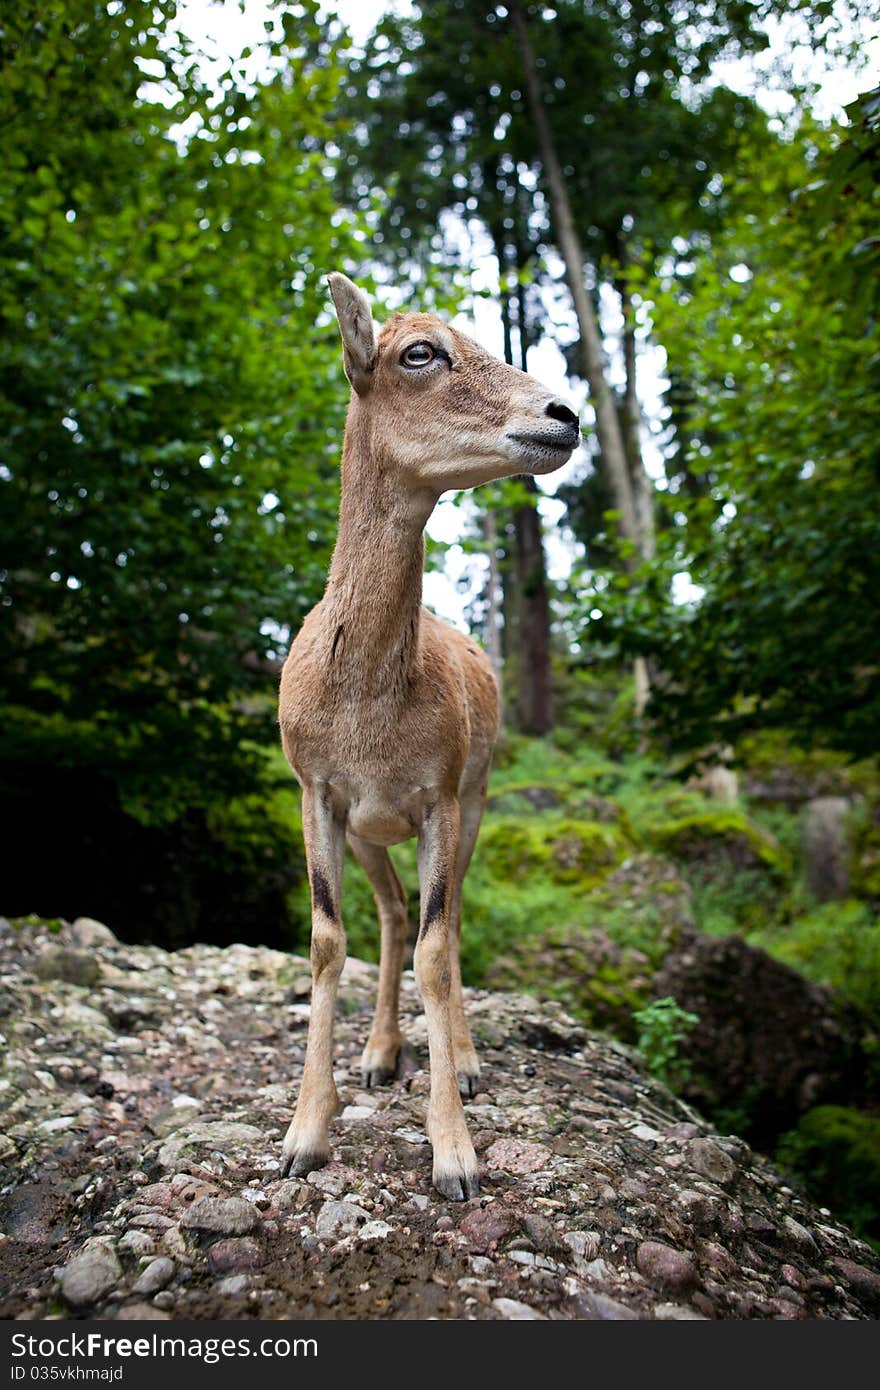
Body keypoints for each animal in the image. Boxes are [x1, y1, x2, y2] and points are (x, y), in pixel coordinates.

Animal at [279, 276, 575, 1200]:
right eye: (419, 352)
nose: (563, 414)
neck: (369, 713)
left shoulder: (441, 790)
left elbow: (438, 952)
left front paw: (455, 1155)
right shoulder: (317, 789)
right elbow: (326, 940)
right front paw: (304, 1136)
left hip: (476, 799)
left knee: (443, 916)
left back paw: (467, 1062)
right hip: (373, 833)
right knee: (391, 911)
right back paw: (379, 1053)